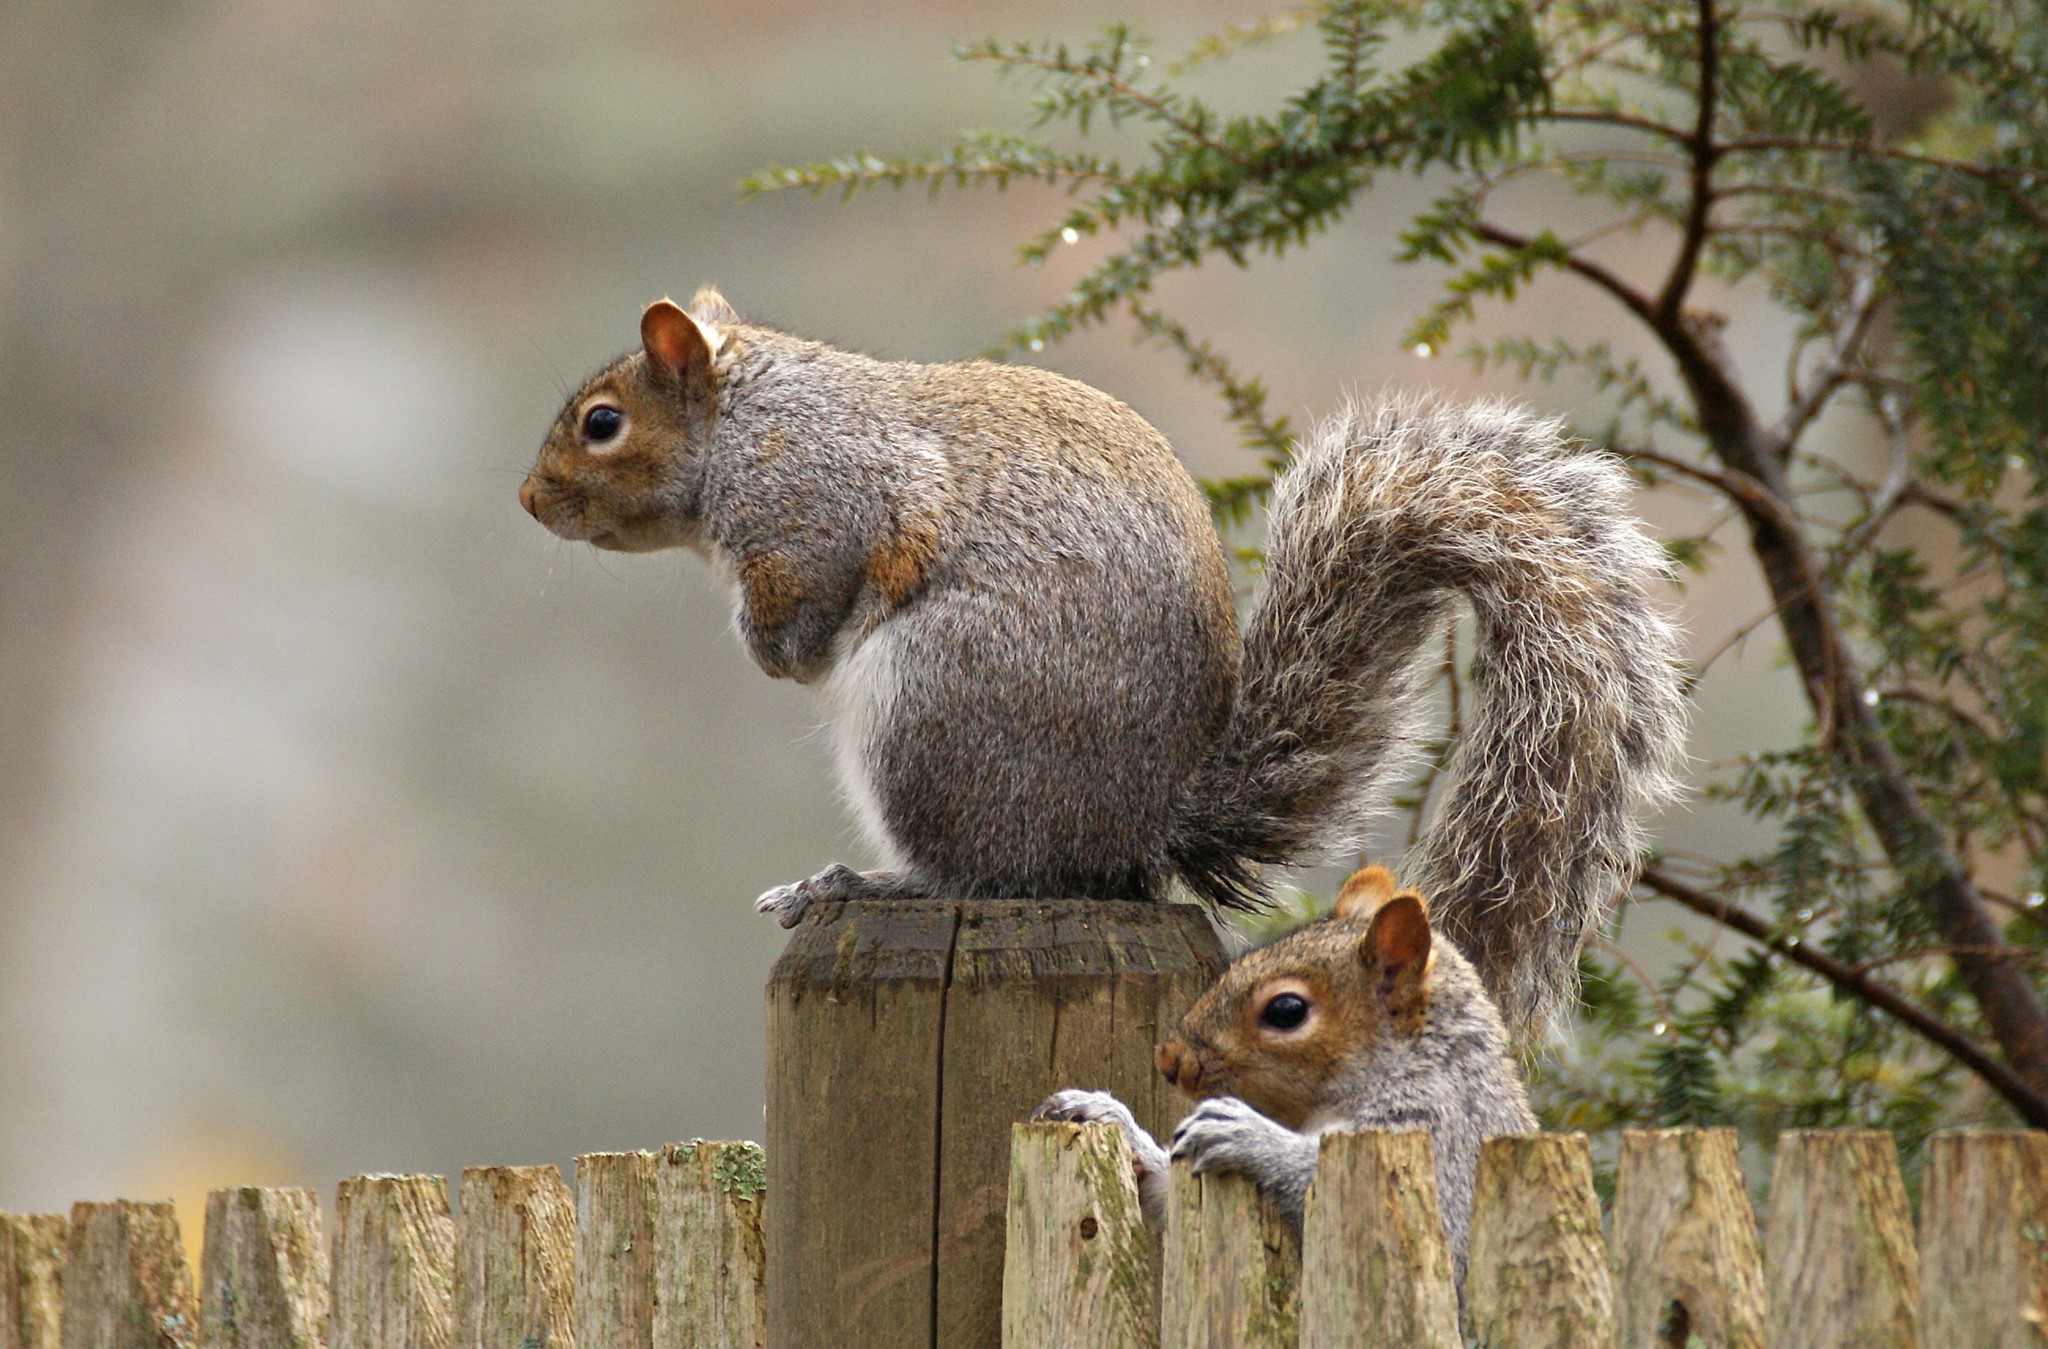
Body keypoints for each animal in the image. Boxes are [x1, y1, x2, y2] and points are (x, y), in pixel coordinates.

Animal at [519, 288, 1685, 1031]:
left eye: (602, 423)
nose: (528, 502)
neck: (746, 420)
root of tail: (1144, 820)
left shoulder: (819, 506)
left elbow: (809, 599)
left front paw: (771, 651)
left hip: (933, 707)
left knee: (984, 871)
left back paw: (858, 882)